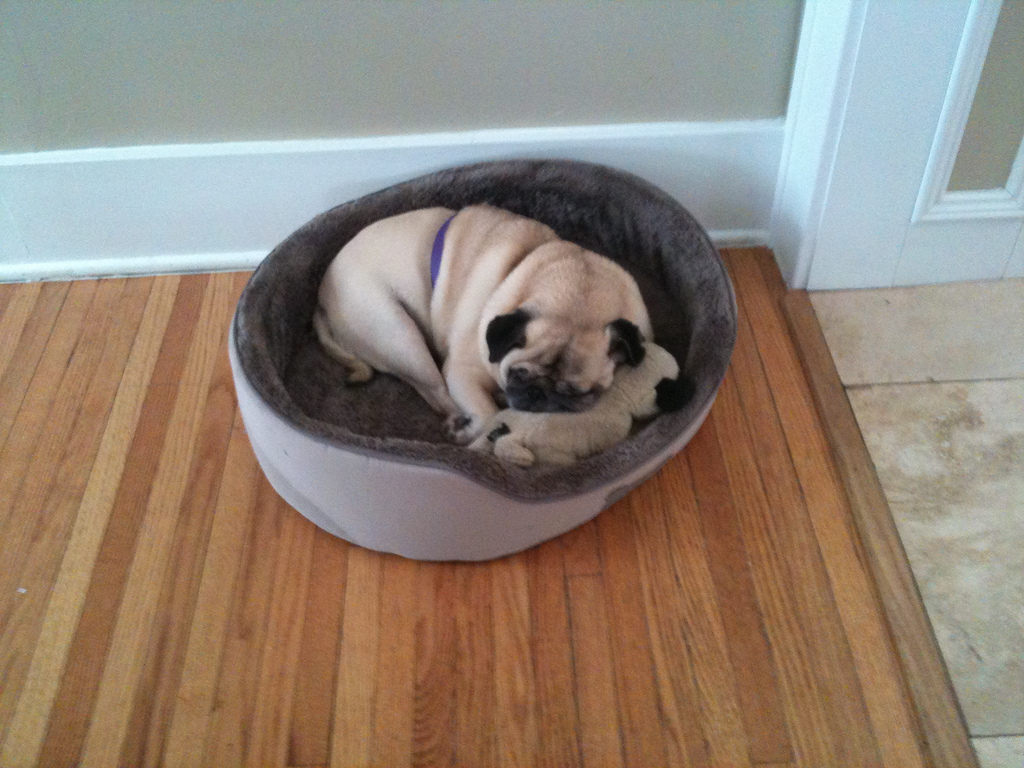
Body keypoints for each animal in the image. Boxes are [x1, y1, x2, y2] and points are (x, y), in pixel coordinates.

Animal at [311, 202, 651, 444]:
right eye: (517, 374)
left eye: (578, 393)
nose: (540, 396)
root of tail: (322, 301)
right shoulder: (463, 372)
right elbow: (488, 416)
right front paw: (480, 423)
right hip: (399, 336)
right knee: (437, 394)